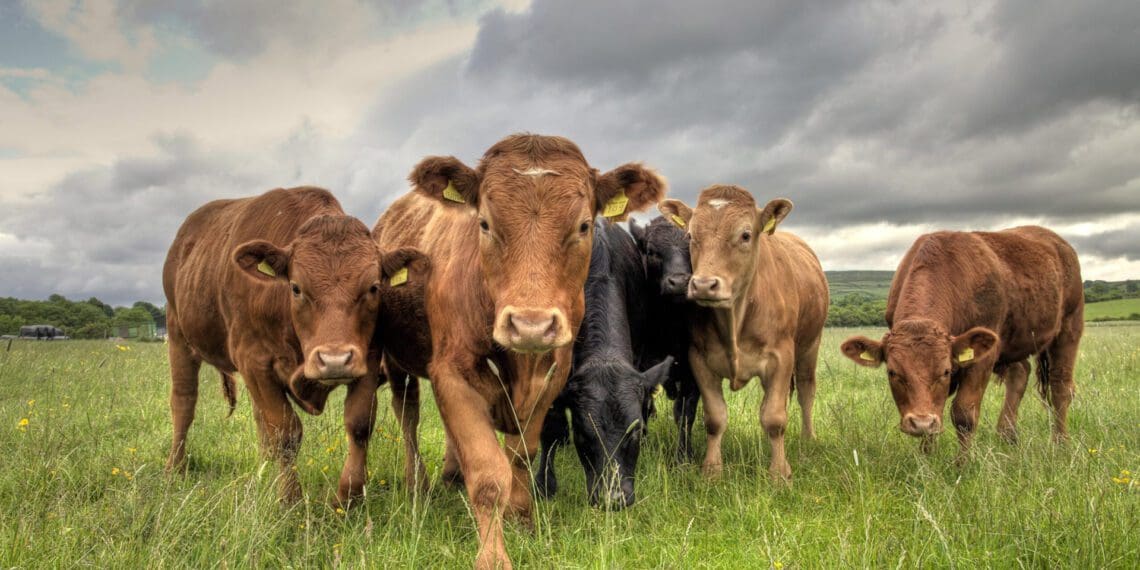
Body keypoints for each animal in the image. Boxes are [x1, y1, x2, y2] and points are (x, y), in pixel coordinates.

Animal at [163, 186, 425, 506]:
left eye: (374, 287)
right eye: (296, 288)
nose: (334, 360)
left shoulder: (368, 358)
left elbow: (359, 424)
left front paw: (348, 498)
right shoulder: (254, 361)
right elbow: (285, 434)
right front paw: (290, 499)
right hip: (178, 335)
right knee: (184, 402)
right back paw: (175, 467)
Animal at [659, 185, 828, 482]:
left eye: (745, 235)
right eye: (690, 235)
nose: (704, 284)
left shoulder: (782, 357)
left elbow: (774, 418)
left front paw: (779, 473)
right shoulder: (699, 359)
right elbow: (715, 418)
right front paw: (712, 470)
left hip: (810, 346)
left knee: (806, 390)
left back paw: (808, 438)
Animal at [839, 226, 1083, 460]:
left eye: (946, 371)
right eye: (892, 372)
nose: (920, 422)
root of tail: (1058, 241)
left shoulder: (982, 358)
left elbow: (964, 413)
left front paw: (962, 464)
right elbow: (936, 410)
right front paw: (927, 460)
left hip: (1069, 326)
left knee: (1060, 387)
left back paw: (1061, 444)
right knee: (1020, 372)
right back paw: (1007, 436)